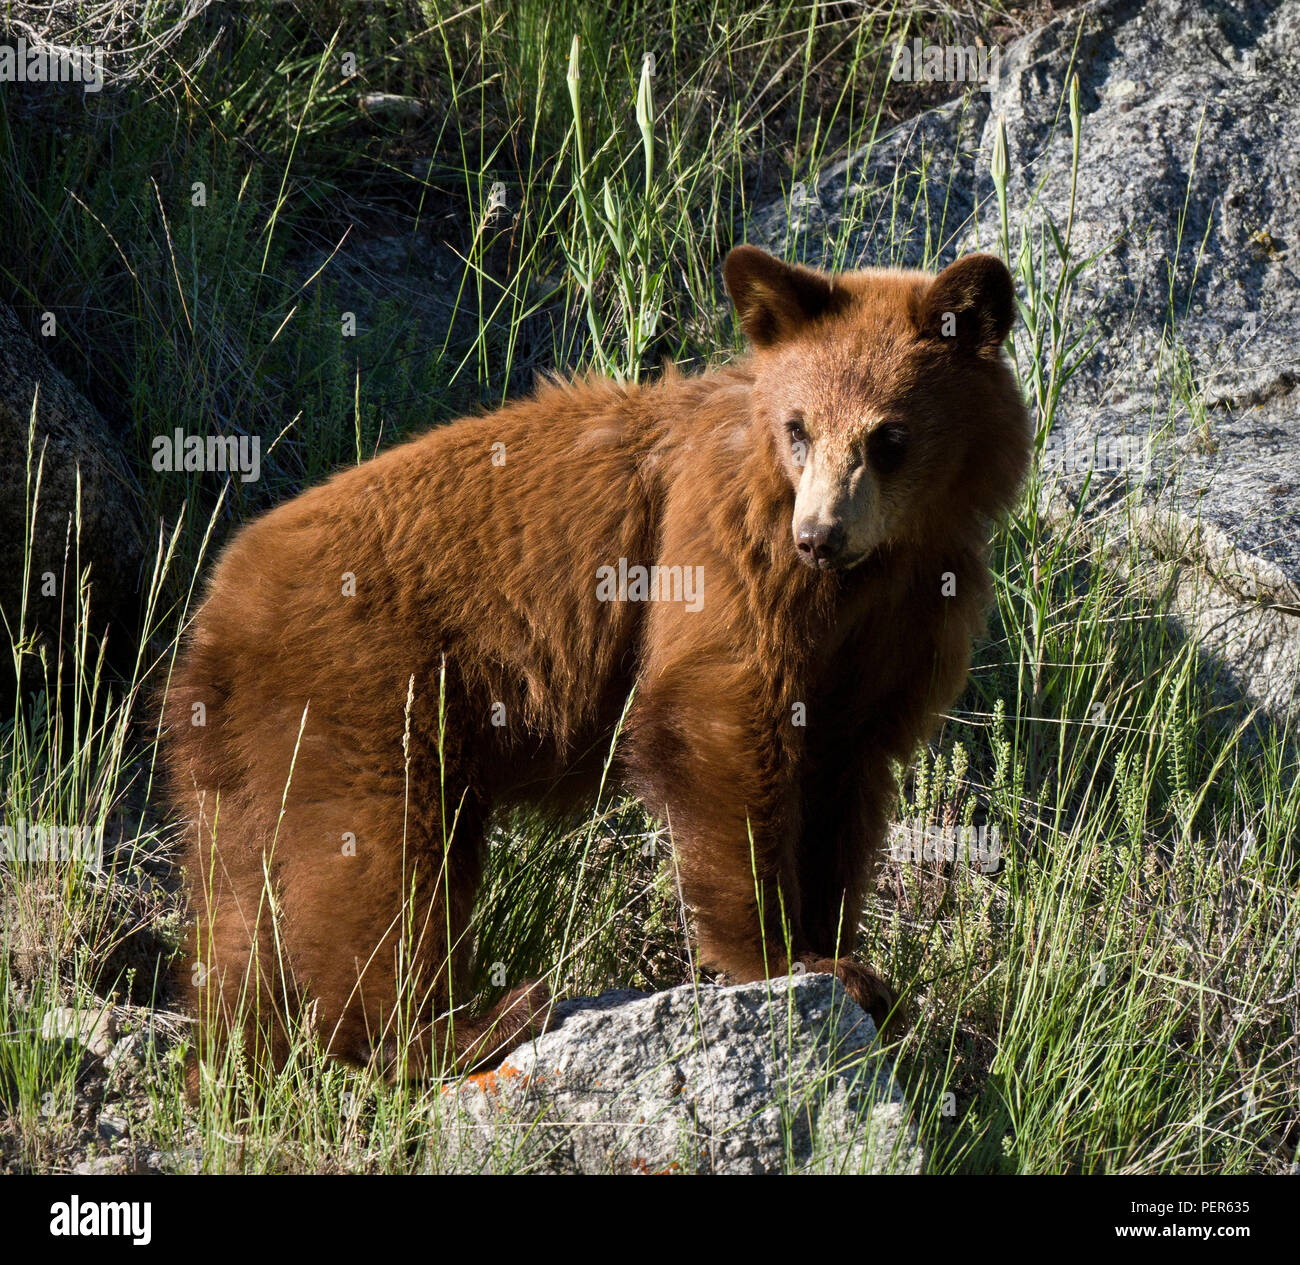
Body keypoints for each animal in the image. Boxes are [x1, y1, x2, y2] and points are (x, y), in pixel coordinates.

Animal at [164, 245, 1031, 1081]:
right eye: (798, 428)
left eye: (889, 437)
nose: (819, 536)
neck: (872, 569)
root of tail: (220, 604)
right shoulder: (723, 534)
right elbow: (719, 708)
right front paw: (783, 958)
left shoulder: (907, 616)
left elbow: (843, 768)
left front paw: (847, 958)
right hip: (368, 680)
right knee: (378, 854)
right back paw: (461, 1028)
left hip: (237, 752)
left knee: (241, 908)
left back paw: (239, 1071)